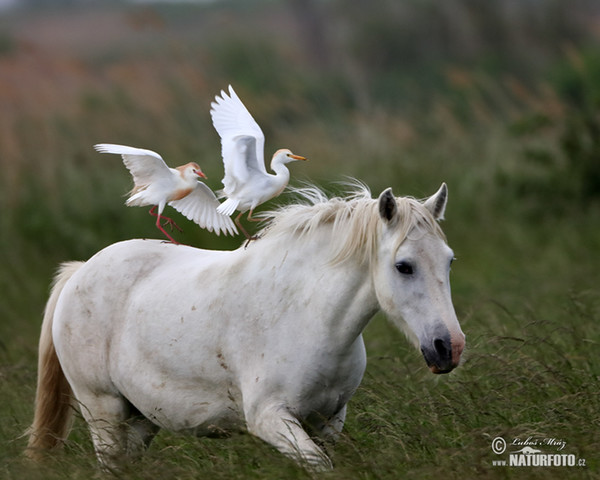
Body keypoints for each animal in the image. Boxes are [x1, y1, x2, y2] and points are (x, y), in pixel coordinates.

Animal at [27, 182, 464, 470]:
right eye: (403, 266)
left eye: (449, 261)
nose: (449, 347)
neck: (307, 316)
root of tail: (80, 271)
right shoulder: (270, 418)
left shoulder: (328, 422)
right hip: (104, 413)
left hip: (141, 421)